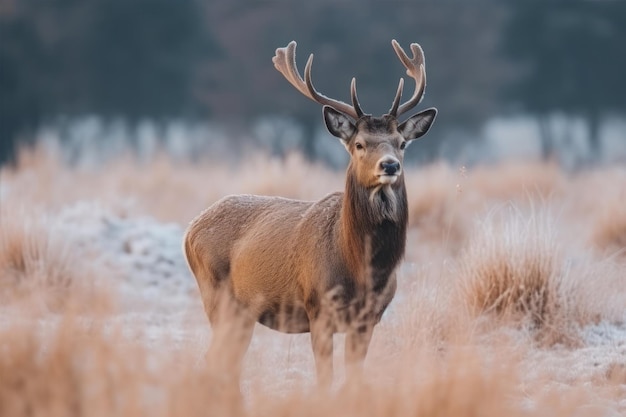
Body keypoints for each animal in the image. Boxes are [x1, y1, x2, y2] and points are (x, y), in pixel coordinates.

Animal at [180, 39, 434, 386]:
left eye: (401, 143)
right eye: (359, 144)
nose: (390, 165)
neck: (362, 267)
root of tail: (189, 230)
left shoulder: (368, 318)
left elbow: (354, 377)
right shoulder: (318, 309)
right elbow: (324, 377)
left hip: (242, 311)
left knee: (226, 360)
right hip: (217, 296)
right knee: (217, 358)